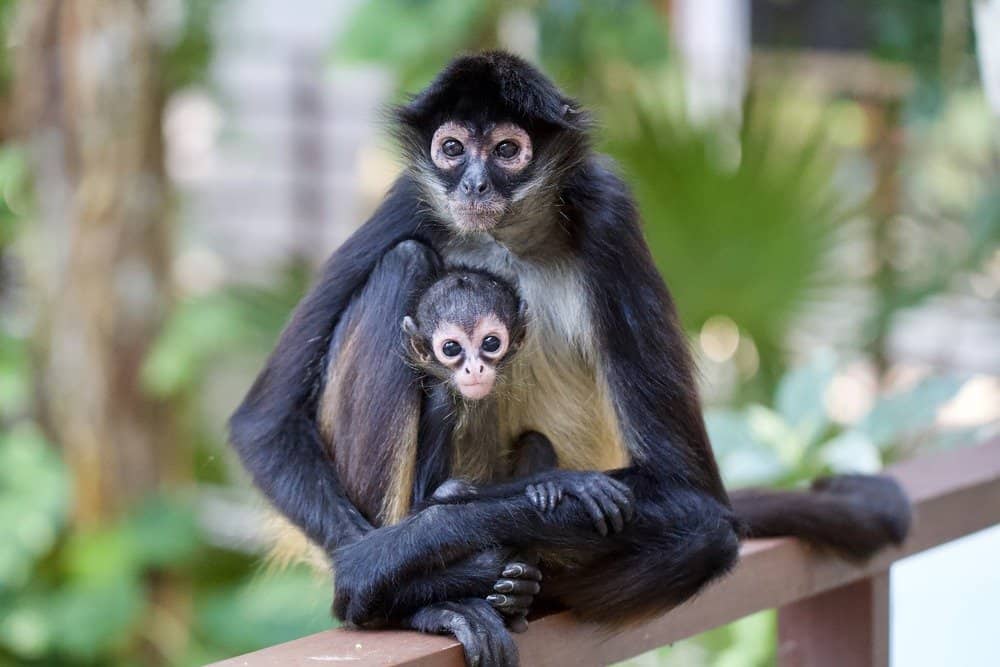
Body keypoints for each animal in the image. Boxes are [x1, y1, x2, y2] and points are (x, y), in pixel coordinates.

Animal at [229, 51, 916, 664]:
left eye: (506, 151)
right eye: (452, 148)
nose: (474, 182)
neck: (506, 239)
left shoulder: (609, 208)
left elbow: (692, 494)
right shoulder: (407, 197)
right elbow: (264, 424)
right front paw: (406, 577)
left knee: (705, 534)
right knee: (404, 258)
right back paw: (437, 599)